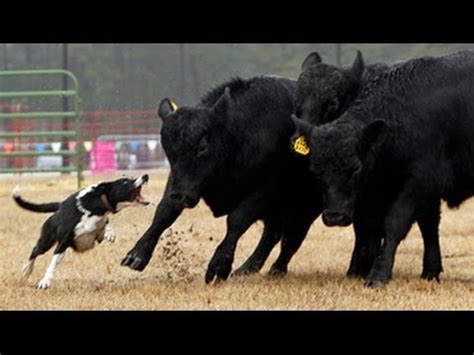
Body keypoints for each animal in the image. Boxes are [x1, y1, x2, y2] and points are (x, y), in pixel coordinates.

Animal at [12, 175, 149, 290]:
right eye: (125, 182)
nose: (145, 176)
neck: (95, 205)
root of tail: (59, 206)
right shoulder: (63, 243)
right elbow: (53, 263)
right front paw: (45, 282)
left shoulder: (97, 231)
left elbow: (105, 224)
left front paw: (110, 232)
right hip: (46, 241)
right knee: (35, 250)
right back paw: (27, 269)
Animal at [290, 50, 474, 290]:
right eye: (317, 171)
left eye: (356, 168)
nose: (334, 216)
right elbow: (425, 226)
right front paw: (430, 271)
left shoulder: (419, 182)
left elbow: (393, 224)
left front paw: (377, 273)